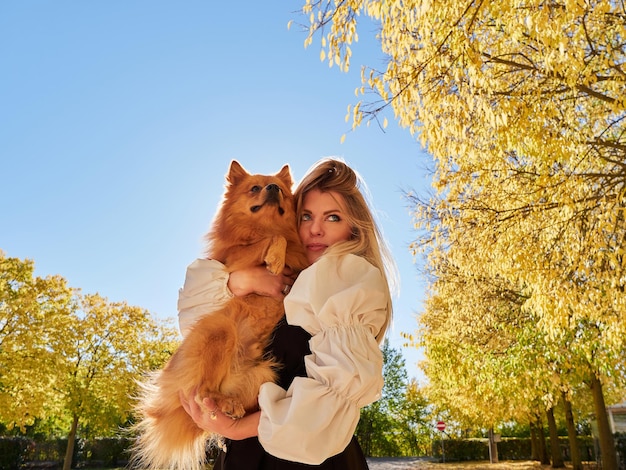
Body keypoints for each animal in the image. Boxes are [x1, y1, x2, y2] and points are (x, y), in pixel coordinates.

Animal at [130, 162, 308, 470]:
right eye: (255, 188)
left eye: (281, 191)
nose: (273, 188)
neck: (263, 225)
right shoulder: (234, 260)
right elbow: (273, 238)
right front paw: (275, 257)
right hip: (220, 330)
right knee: (203, 391)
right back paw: (220, 401)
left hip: (263, 372)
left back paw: (228, 405)